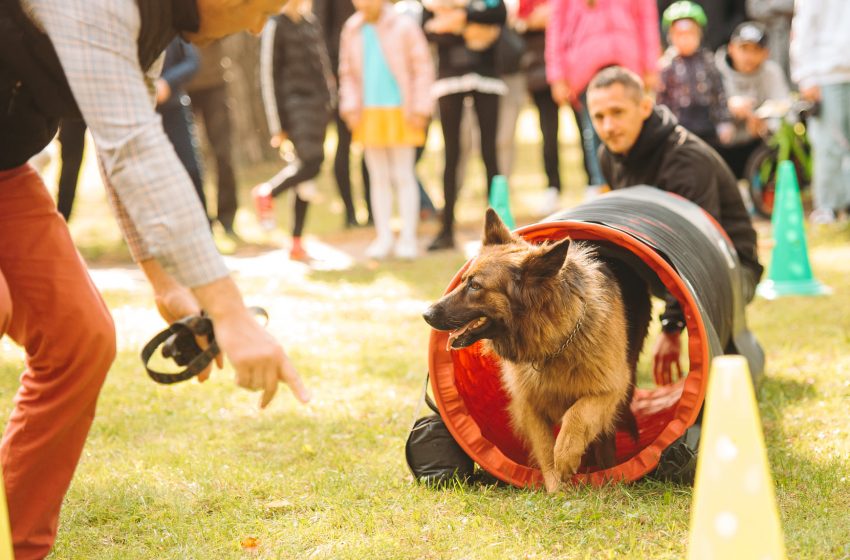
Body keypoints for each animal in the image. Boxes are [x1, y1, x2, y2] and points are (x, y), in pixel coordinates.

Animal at [422, 209, 648, 490]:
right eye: (463, 280)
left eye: (475, 286)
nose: (426, 314)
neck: (553, 342)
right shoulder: (529, 404)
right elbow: (544, 447)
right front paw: (556, 486)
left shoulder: (610, 388)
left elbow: (578, 414)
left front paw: (566, 456)